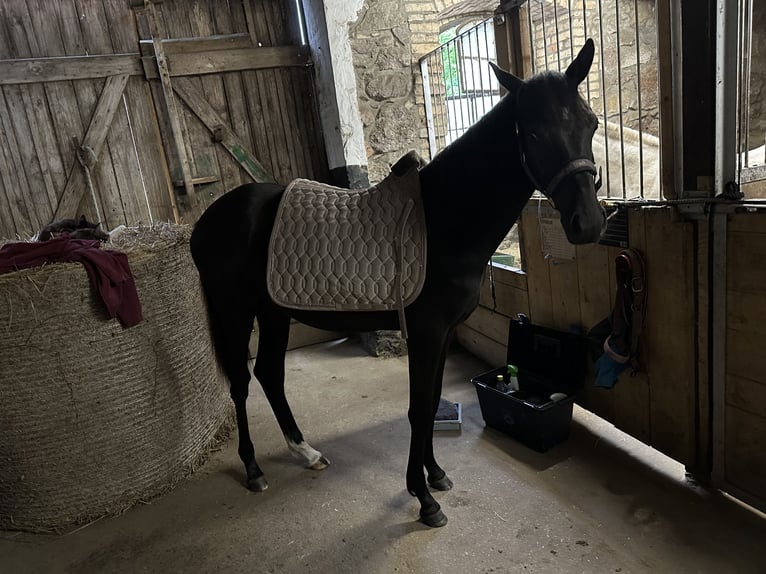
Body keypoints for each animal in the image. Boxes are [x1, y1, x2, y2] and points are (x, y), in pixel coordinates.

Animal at [190, 39, 605, 528]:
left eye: (591, 122)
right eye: (535, 134)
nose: (588, 223)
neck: (443, 219)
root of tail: (207, 221)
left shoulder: (442, 335)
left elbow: (432, 403)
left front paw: (436, 475)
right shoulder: (425, 333)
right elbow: (418, 409)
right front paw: (423, 499)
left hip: (274, 311)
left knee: (270, 373)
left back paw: (306, 451)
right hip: (234, 311)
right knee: (240, 381)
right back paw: (253, 469)